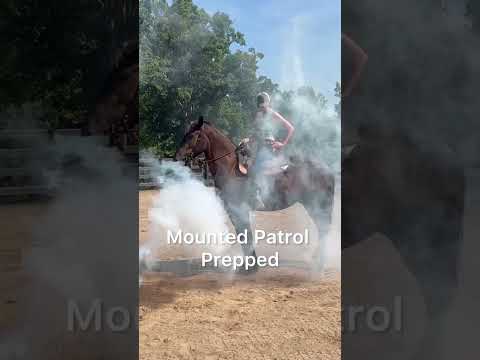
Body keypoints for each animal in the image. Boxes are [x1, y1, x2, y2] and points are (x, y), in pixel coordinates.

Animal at [174, 116, 336, 268]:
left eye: (193, 135)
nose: (177, 157)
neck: (230, 168)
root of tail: (326, 168)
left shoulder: (238, 209)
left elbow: (244, 235)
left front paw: (250, 267)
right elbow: (244, 235)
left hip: (317, 205)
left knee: (323, 228)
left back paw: (320, 262)